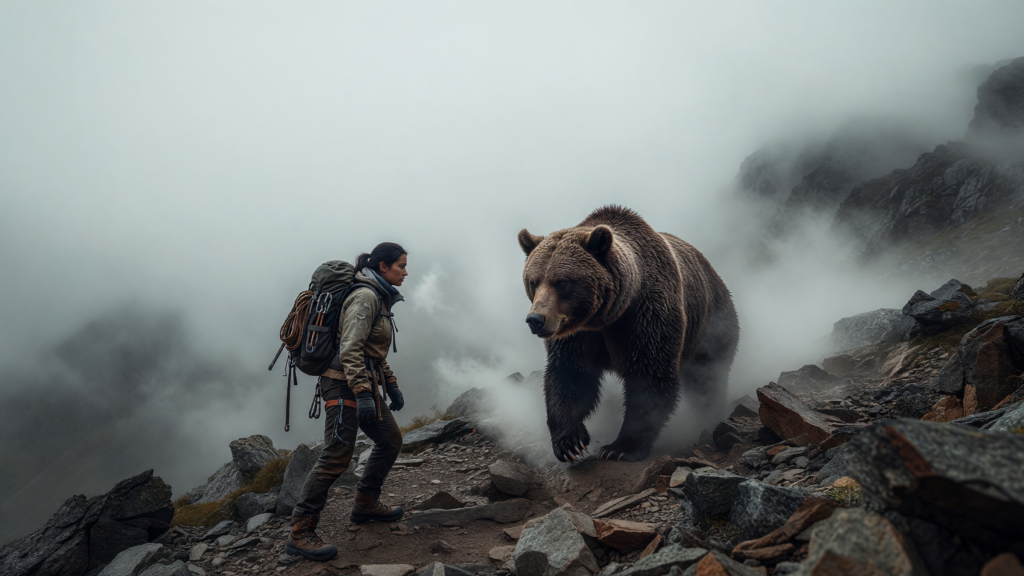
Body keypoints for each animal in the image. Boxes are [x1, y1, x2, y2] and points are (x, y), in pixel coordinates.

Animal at [518, 205, 739, 462]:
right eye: (533, 281)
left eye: (562, 282)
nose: (536, 319)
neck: (606, 317)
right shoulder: (578, 335)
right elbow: (571, 375)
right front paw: (569, 442)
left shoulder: (645, 317)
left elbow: (650, 378)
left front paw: (620, 448)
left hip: (711, 326)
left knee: (708, 378)